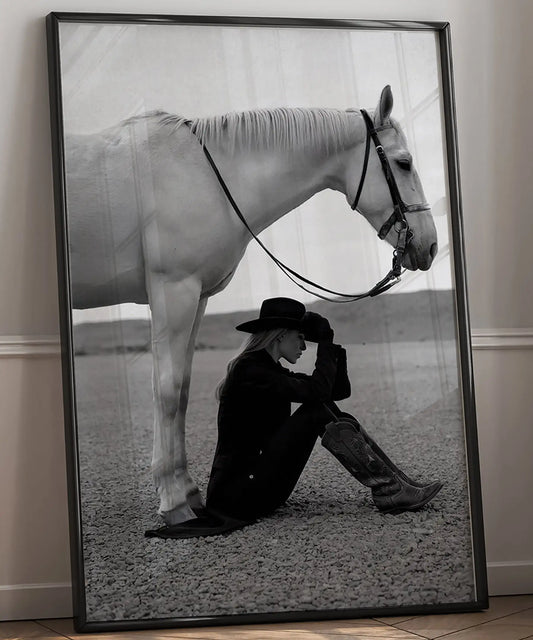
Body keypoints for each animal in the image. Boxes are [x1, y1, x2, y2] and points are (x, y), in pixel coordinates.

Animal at [64, 85, 438, 524]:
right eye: (404, 163)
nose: (430, 246)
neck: (204, 176)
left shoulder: (196, 298)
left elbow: (183, 391)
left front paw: (189, 492)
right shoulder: (173, 291)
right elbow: (168, 391)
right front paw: (175, 504)